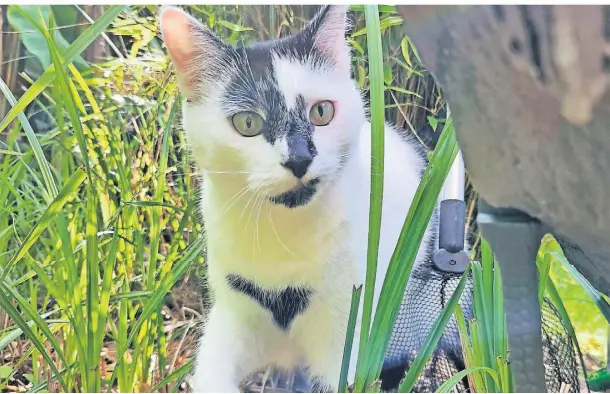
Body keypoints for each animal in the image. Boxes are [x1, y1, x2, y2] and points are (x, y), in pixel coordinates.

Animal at [159, 4, 434, 392]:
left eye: (322, 111)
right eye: (247, 123)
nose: (300, 158)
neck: (283, 240)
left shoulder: (345, 328)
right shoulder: (234, 311)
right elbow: (211, 371)